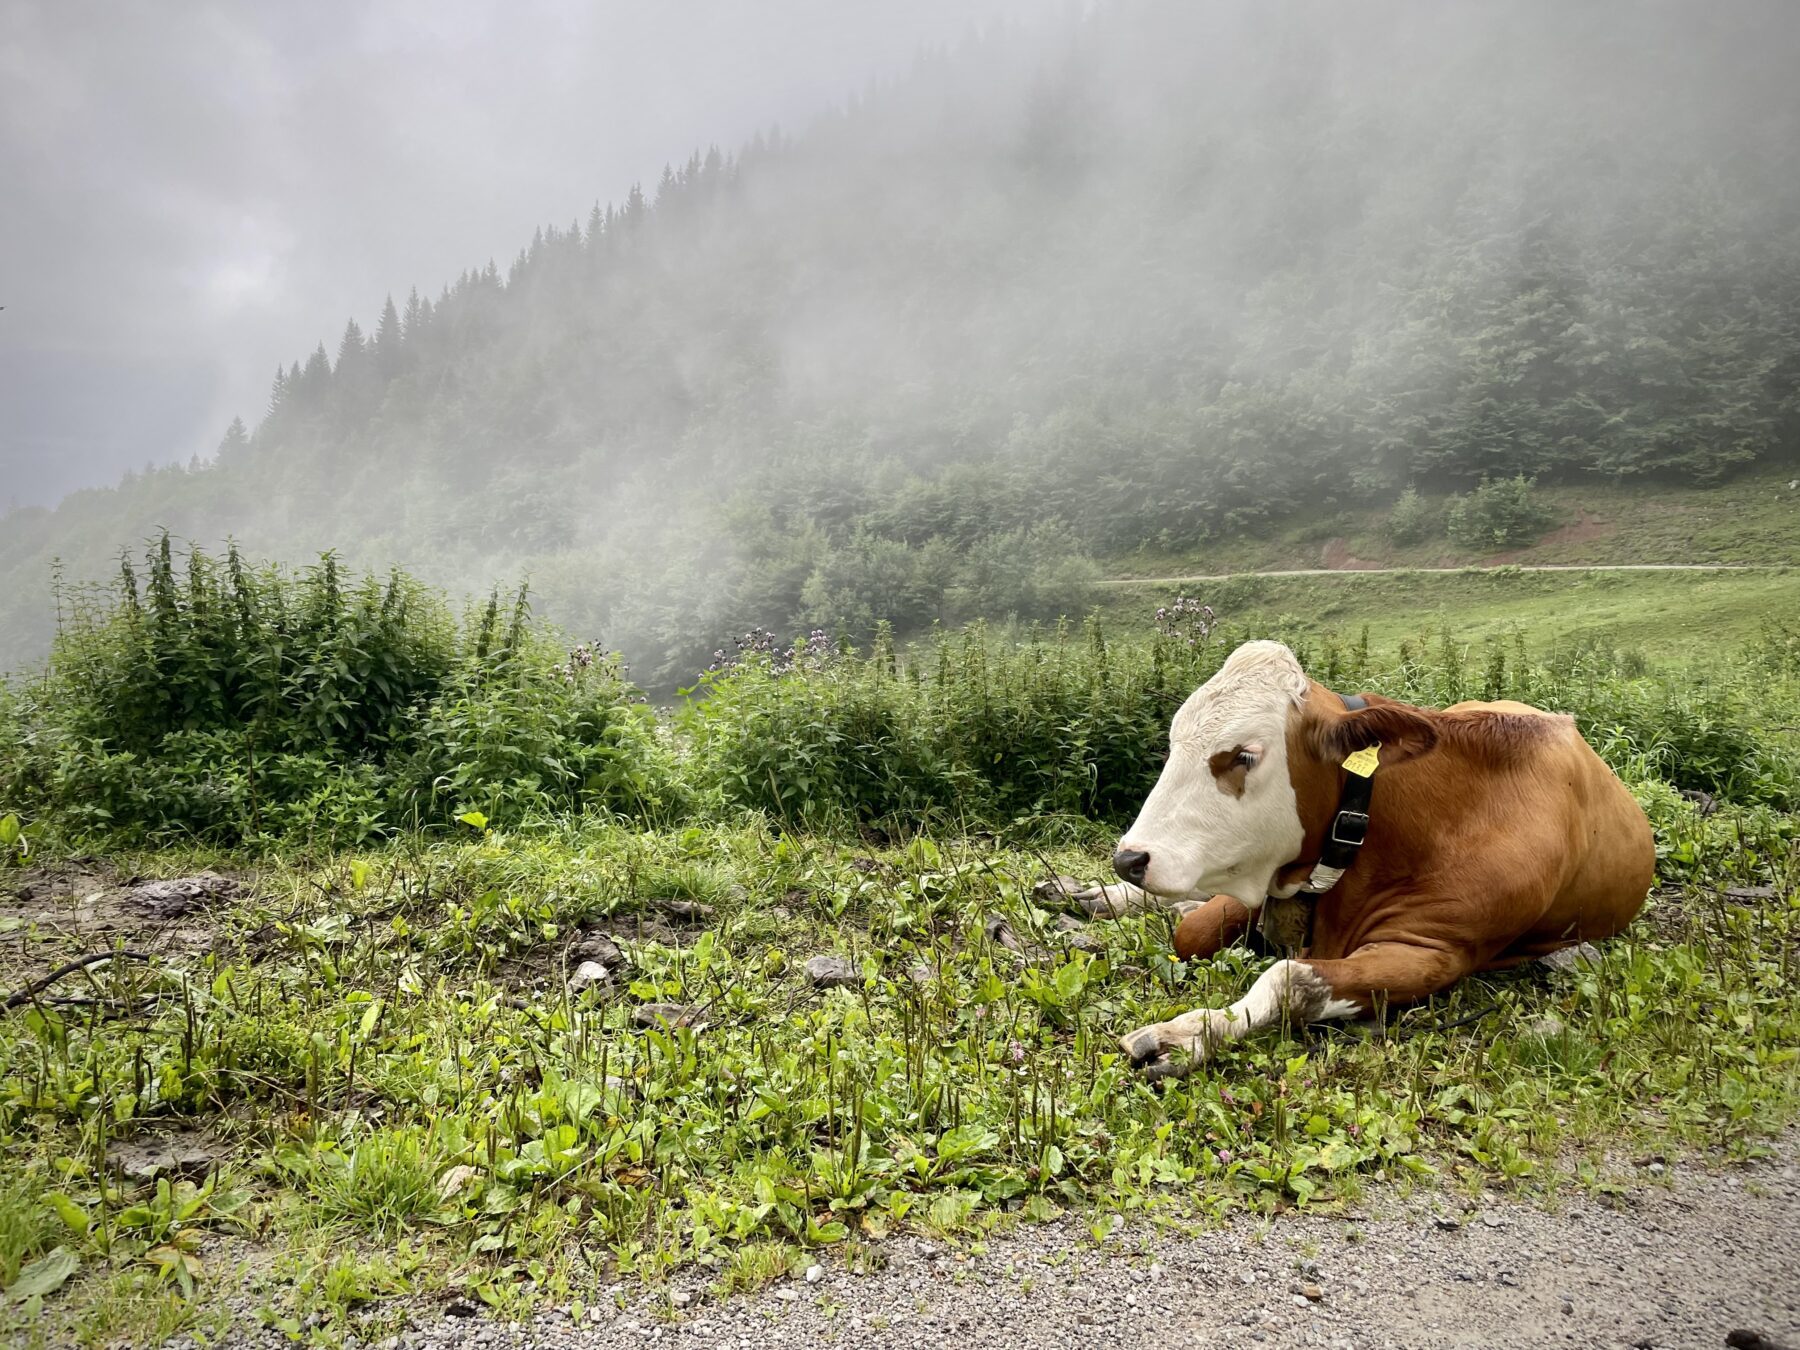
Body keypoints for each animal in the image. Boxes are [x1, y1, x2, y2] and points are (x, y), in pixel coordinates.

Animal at [1051, 640, 1648, 1080]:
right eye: (1174, 744)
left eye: (1242, 756)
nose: (1130, 858)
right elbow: (1193, 930)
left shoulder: (1435, 953)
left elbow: (1289, 978)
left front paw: (1190, 1033)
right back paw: (1085, 894)